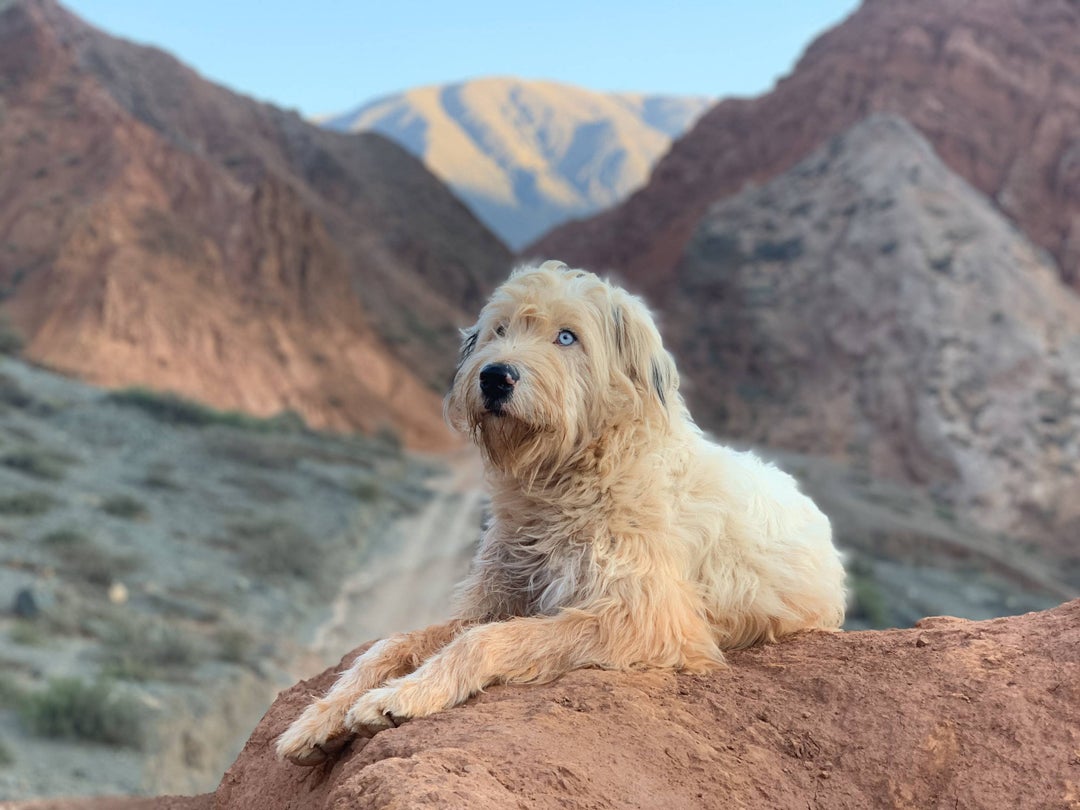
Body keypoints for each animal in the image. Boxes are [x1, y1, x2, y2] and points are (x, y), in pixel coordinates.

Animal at [274, 261, 846, 768]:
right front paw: (319, 717)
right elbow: (392, 644)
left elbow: (485, 640)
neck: (566, 479)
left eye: (567, 337)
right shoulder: (502, 593)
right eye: (500, 329)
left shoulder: (645, 617)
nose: (495, 377)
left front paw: (404, 695)